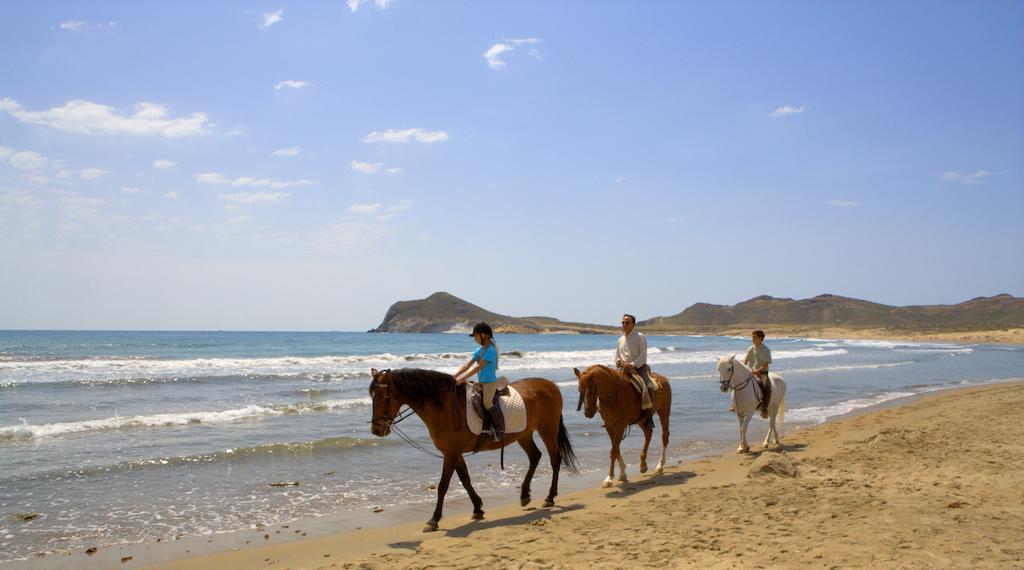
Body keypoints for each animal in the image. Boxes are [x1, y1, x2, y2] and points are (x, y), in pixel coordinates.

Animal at [370, 366, 581, 532]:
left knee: (555, 459)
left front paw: (434, 520)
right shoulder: (453, 452)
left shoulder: (451, 453)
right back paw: (525, 495)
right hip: (524, 434)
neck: (444, 406)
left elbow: (443, 486)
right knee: (535, 456)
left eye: (382, 396)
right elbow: (465, 479)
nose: (376, 430)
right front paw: (478, 508)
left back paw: (550, 497)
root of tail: (551, 385)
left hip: (547, 429)